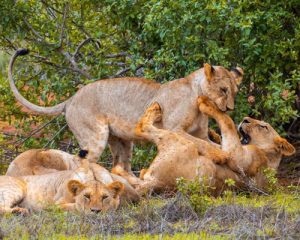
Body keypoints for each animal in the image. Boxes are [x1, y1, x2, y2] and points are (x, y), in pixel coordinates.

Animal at [8, 48, 244, 173]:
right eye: (223, 90)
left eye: (234, 91)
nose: (230, 108)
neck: (197, 94)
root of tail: (71, 99)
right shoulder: (175, 129)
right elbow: (202, 144)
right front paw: (222, 156)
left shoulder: (200, 132)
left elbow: (207, 141)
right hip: (95, 137)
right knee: (79, 162)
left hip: (121, 141)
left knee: (119, 164)